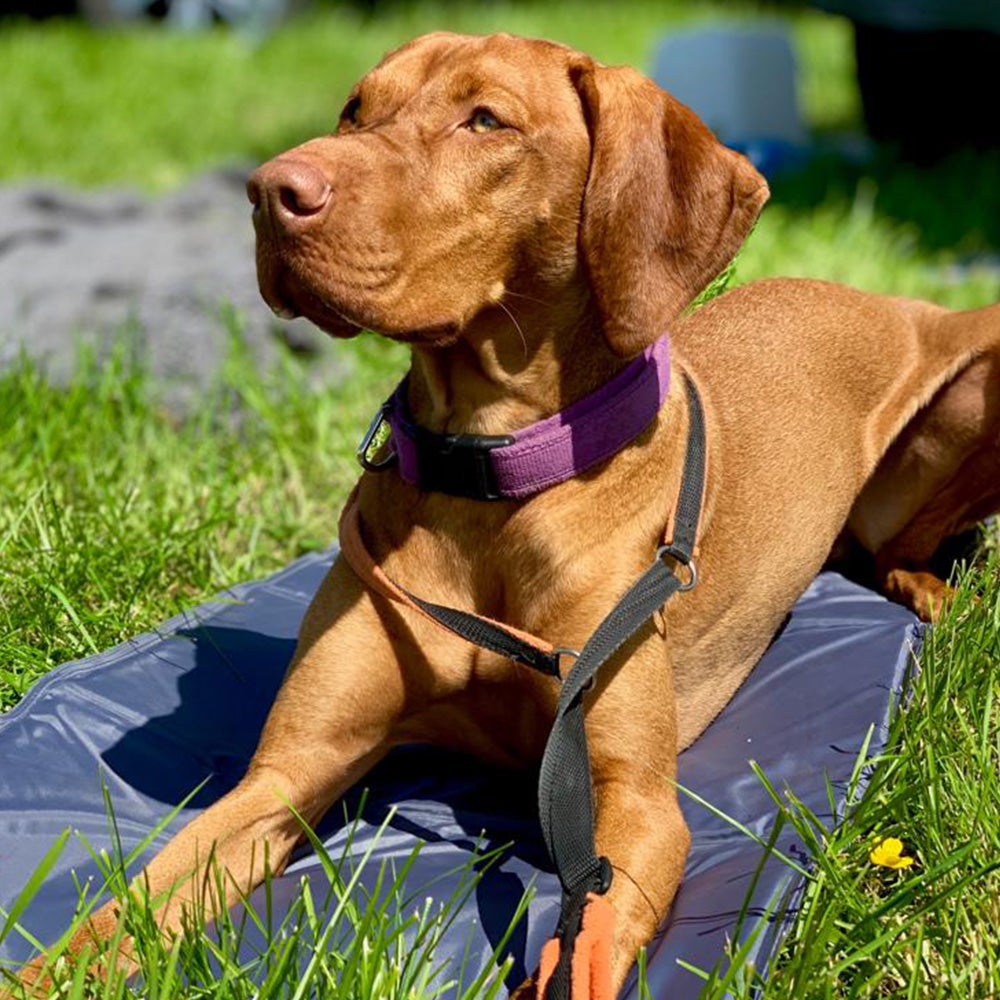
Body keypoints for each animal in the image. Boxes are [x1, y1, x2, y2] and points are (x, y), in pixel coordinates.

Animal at [11, 29, 1000, 1000]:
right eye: (355, 108)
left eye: (485, 120)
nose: (267, 190)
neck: (489, 483)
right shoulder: (287, 773)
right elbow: (120, 917)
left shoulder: (634, 805)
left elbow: (580, 949)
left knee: (893, 553)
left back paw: (950, 606)